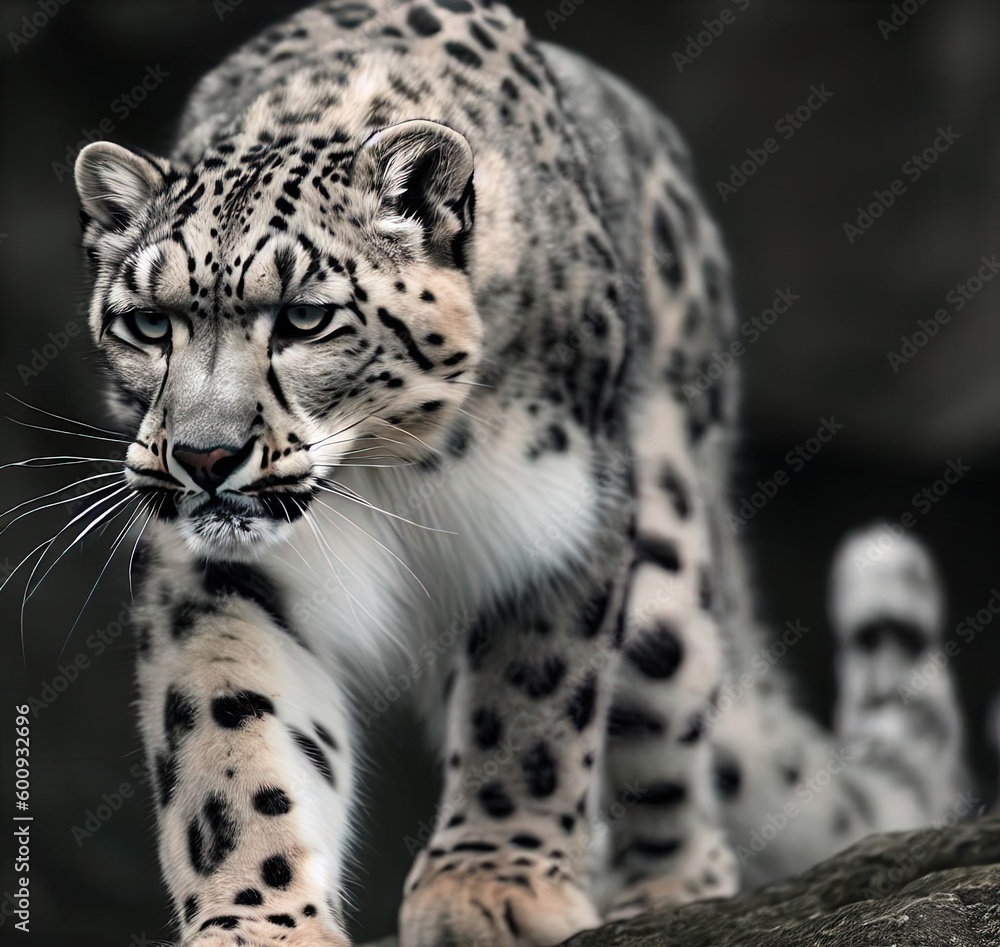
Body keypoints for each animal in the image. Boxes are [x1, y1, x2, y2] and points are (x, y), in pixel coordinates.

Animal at [68, 1, 968, 944]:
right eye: (146, 324)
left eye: (306, 318)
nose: (204, 457)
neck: (385, 473)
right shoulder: (217, 569)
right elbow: (230, 730)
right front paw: (257, 919)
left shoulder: (559, 519)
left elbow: (531, 704)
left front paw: (492, 883)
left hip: (664, 574)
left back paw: (668, 886)